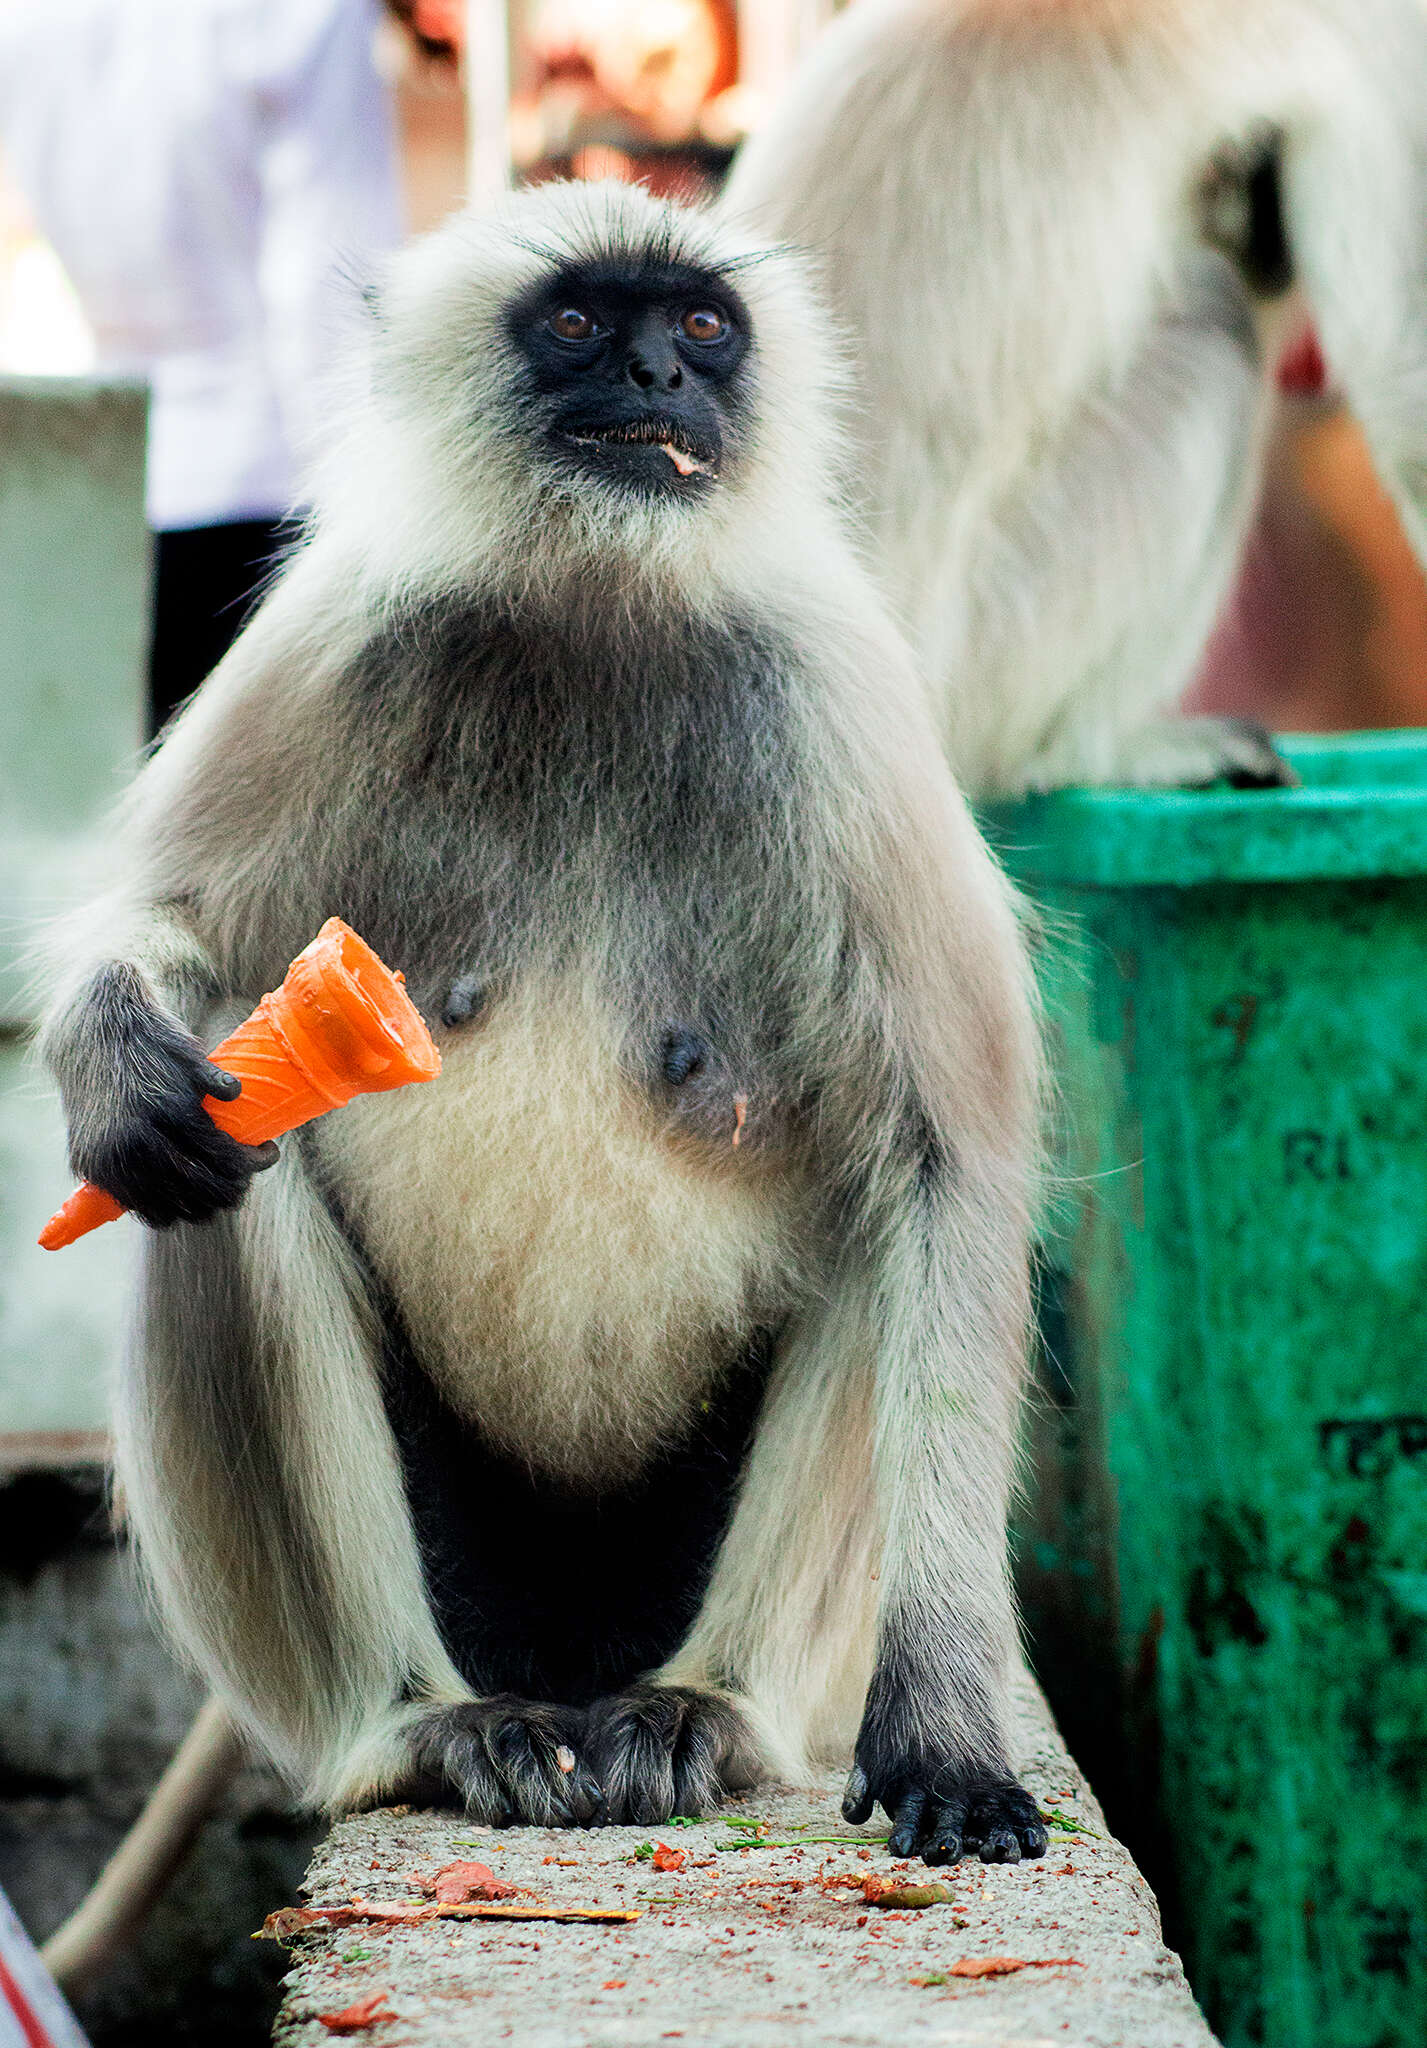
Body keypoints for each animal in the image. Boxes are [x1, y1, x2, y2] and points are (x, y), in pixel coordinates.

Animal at [41, 188, 1048, 1875]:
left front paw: (945, 1731)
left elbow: (945, 1164)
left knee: (879, 1213)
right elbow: (161, 929)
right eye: (579, 324)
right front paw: (115, 1052)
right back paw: (422, 1722)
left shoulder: (835, 691)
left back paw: (697, 1709)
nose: (658, 380)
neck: (597, 599)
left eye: (700, 325)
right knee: (222, 1171)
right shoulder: (345, 630)